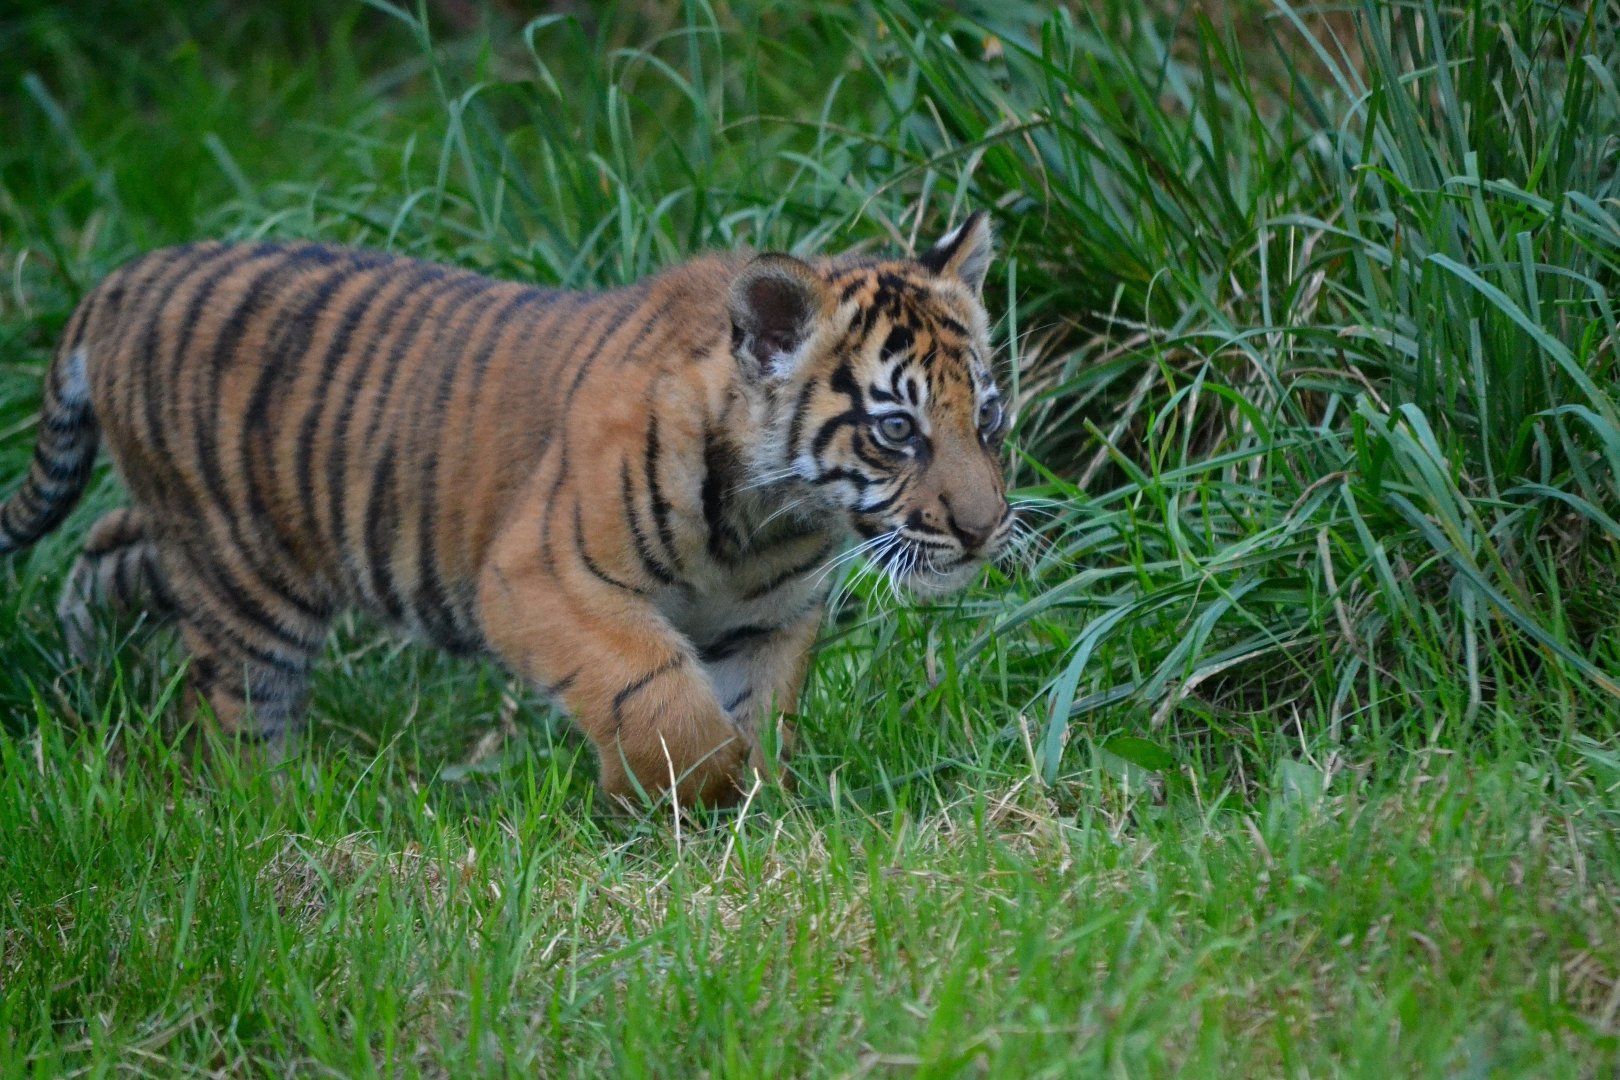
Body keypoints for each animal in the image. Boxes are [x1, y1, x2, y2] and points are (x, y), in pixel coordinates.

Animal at [0, 212, 1014, 807]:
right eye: (896, 430)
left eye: (989, 418)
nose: (982, 531)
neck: (770, 521)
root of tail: (130, 277)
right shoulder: (541, 578)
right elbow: (664, 702)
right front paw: (673, 795)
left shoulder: (769, 620)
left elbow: (757, 717)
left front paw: (747, 810)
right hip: (248, 585)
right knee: (239, 718)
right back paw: (274, 817)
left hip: (218, 545)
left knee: (106, 546)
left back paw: (80, 670)